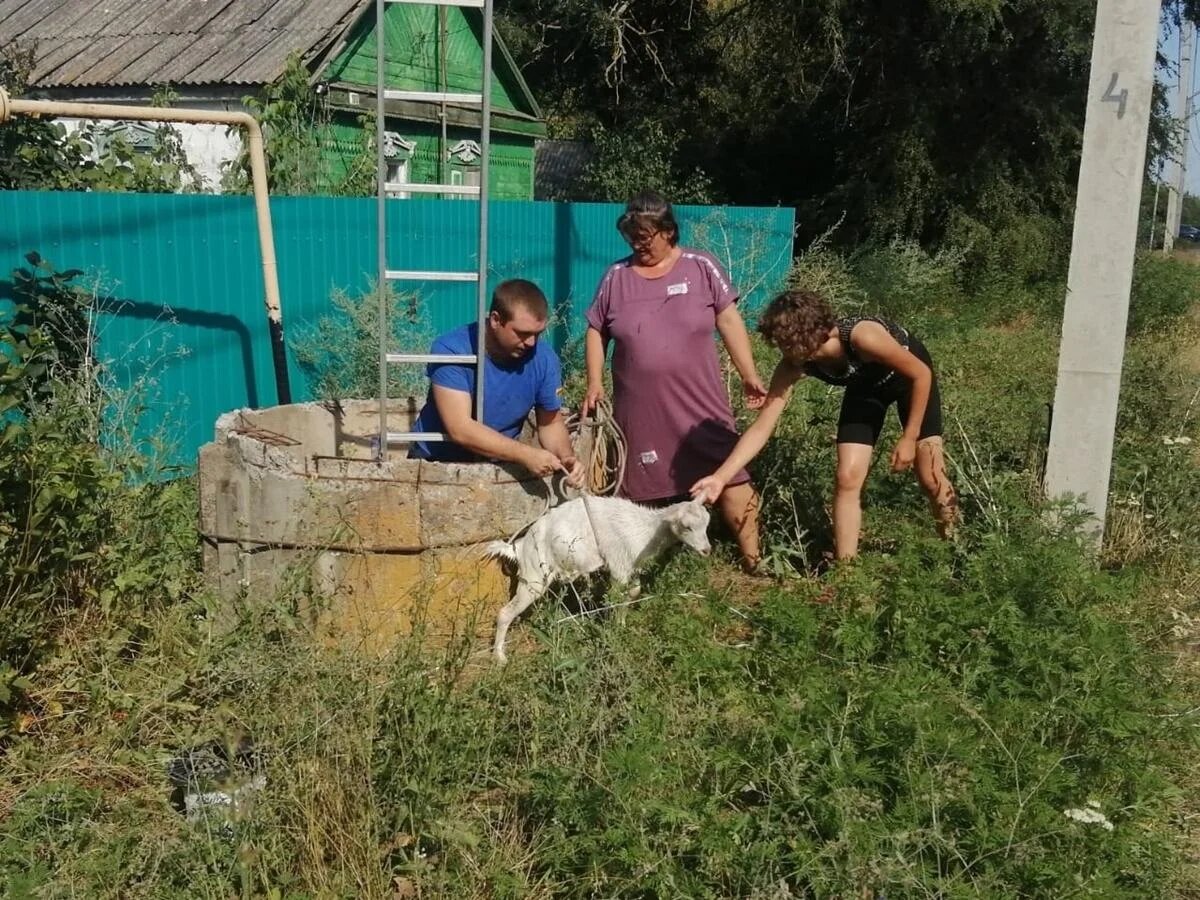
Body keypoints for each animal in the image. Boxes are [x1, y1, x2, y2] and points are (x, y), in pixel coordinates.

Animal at [484, 494, 710, 662]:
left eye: (706, 525)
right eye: (687, 526)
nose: (707, 550)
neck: (644, 529)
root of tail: (520, 546)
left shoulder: (630, 566)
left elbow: (634, 592)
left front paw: (621, 625)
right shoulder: (619, 567)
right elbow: (617, 599)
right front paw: (615, 632)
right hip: (534, 577)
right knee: (505, 613)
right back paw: (499, 657)